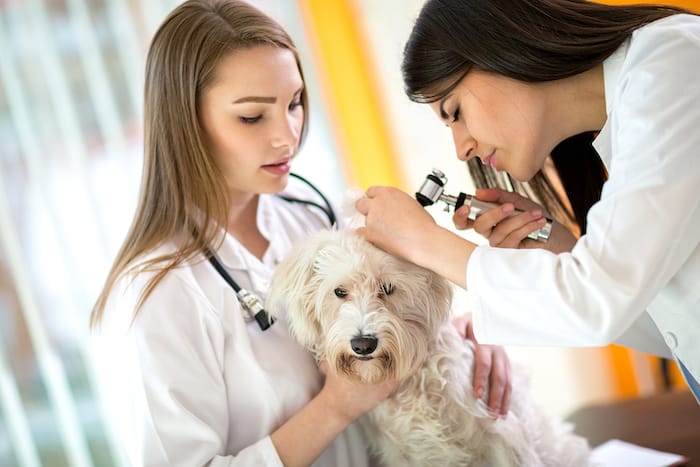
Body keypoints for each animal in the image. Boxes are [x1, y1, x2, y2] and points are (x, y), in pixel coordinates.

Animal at [268, 230, 592, 467]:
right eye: (339, 292)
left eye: (387, 288)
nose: (363, 344)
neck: (413, 386)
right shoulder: (403, 455)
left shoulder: (499, 434)